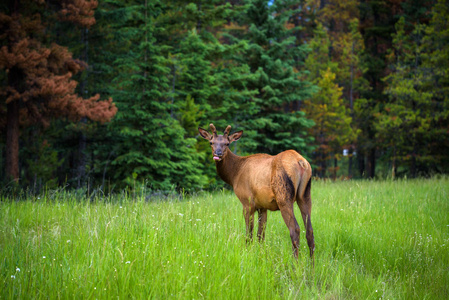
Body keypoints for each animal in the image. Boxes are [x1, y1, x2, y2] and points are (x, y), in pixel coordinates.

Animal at [200, 123, 316, 258]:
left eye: (227, 143)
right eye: (211, 142)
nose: (217, 154)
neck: (234, 175)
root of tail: (301, 162)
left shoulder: (247, 202)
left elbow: (249, 234)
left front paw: (247, 252)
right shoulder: (263, 206)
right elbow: (261, 235)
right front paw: (259, 255)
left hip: (283, 196)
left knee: (295, 230)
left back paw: (295, 263)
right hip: (305, 195)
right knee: (310, 230)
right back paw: (311, 263)